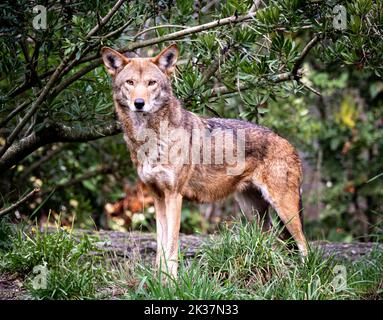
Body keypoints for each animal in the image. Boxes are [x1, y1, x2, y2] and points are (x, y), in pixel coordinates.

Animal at [102, 43, 308, 278]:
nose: (139, 103)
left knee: (304, 246)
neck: (149, 139)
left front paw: (171, 281)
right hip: (253, 213)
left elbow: (171, 246)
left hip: (284, 208)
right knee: (274, 242)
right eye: (130, 82)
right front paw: (159, 280)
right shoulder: (158, 196)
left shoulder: (174, 196)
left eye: (151, 83)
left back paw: (303, 277)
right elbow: (160, 248)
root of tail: (288, 143)